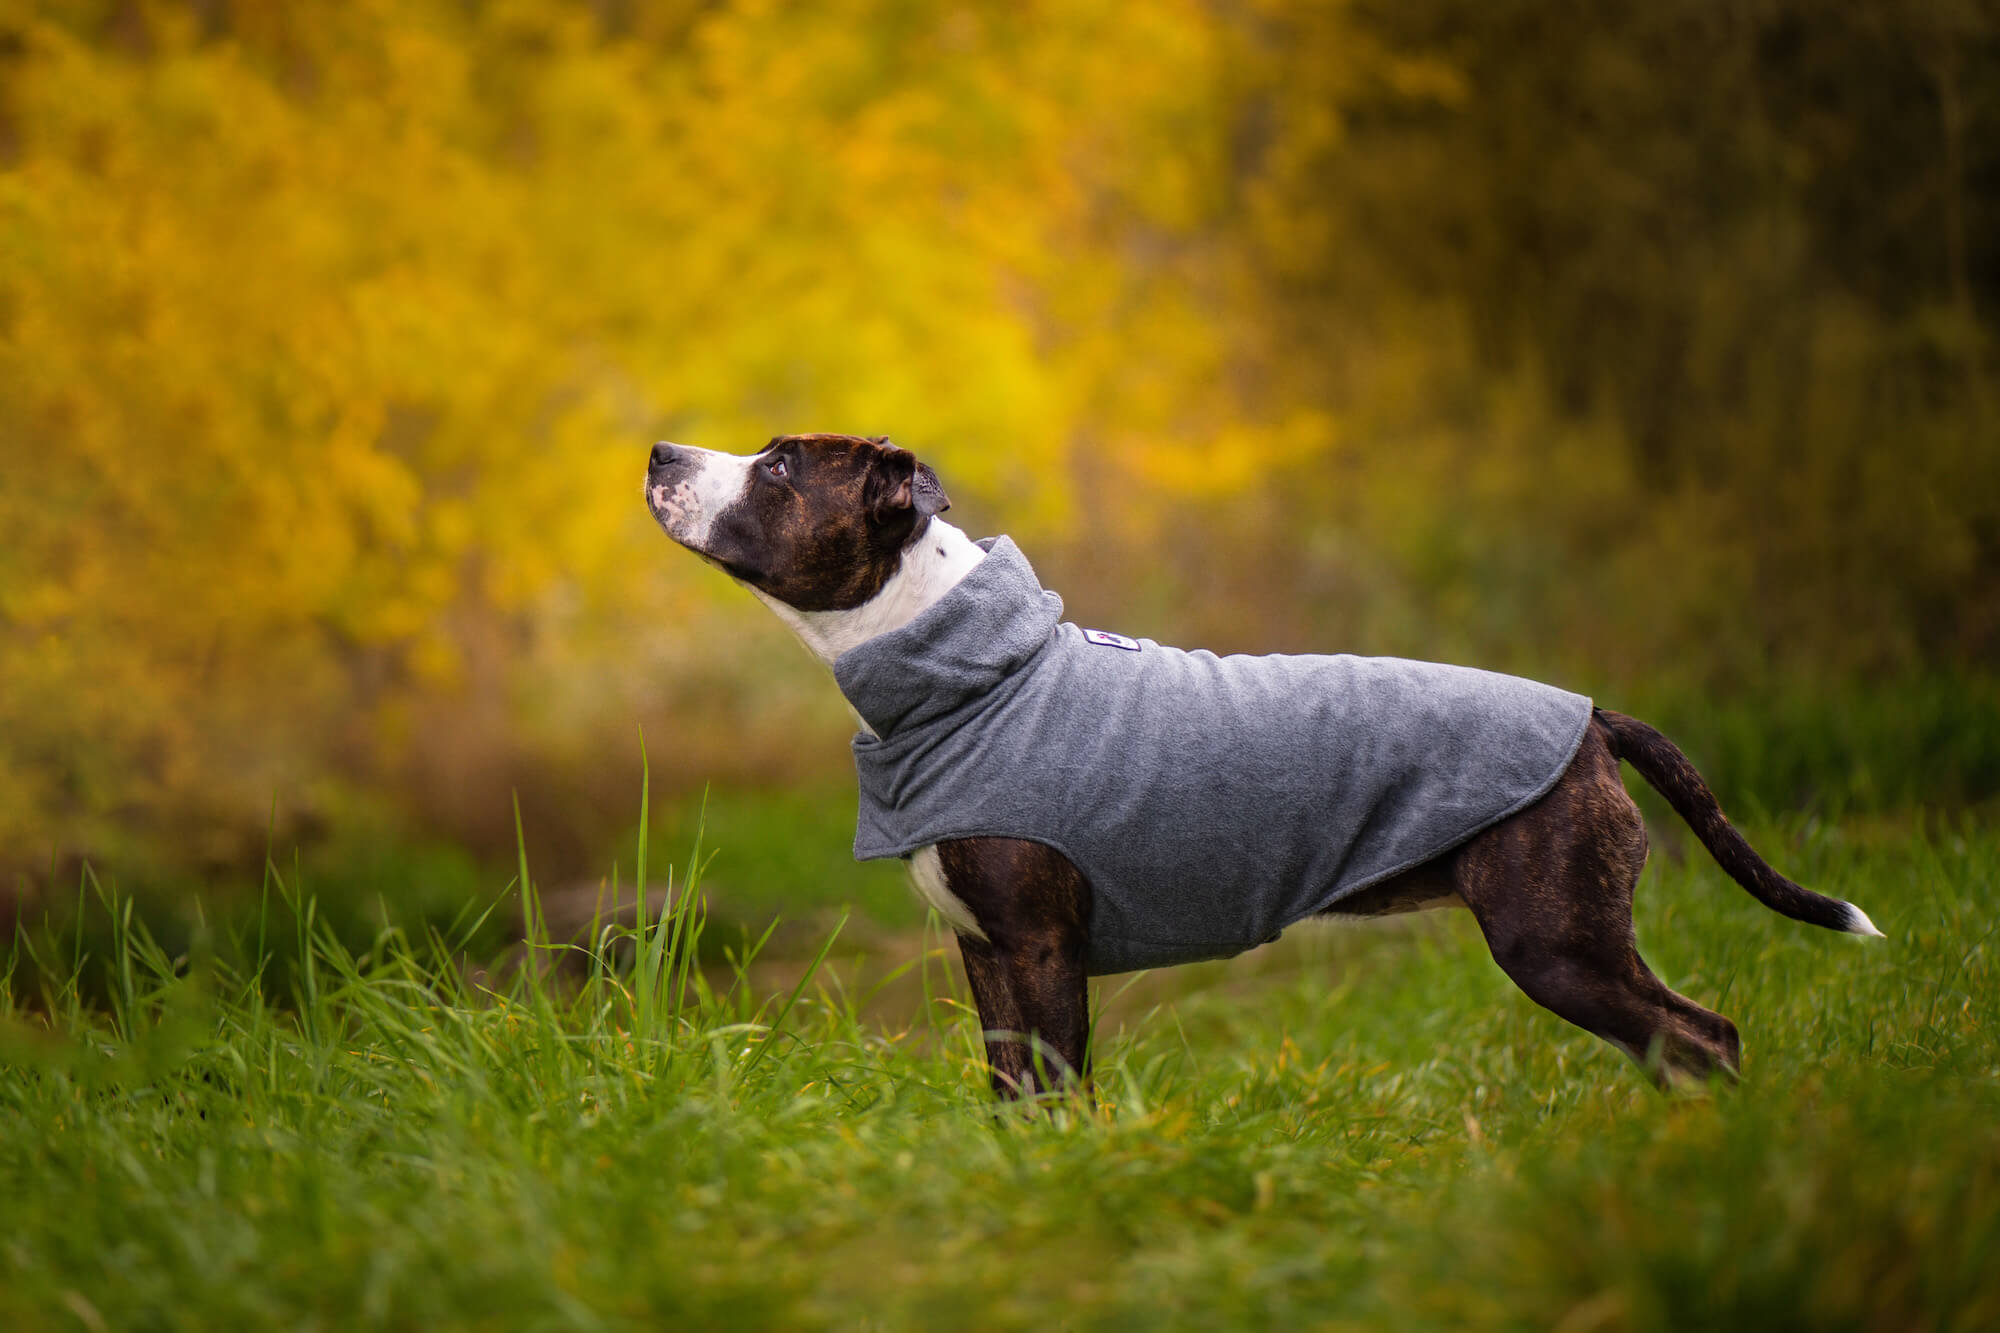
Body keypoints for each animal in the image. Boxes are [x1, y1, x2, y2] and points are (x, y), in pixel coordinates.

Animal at [648, 430, 1880, 1096]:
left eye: (777, 469)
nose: (660, 450)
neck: (963, 666)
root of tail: (1589, 723)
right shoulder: (988, 954)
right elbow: (1012, 1090)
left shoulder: (1042, 948)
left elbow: (1059, 1087)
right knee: (1683, 1041)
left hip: (1555, 939)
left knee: (1701, 1034)